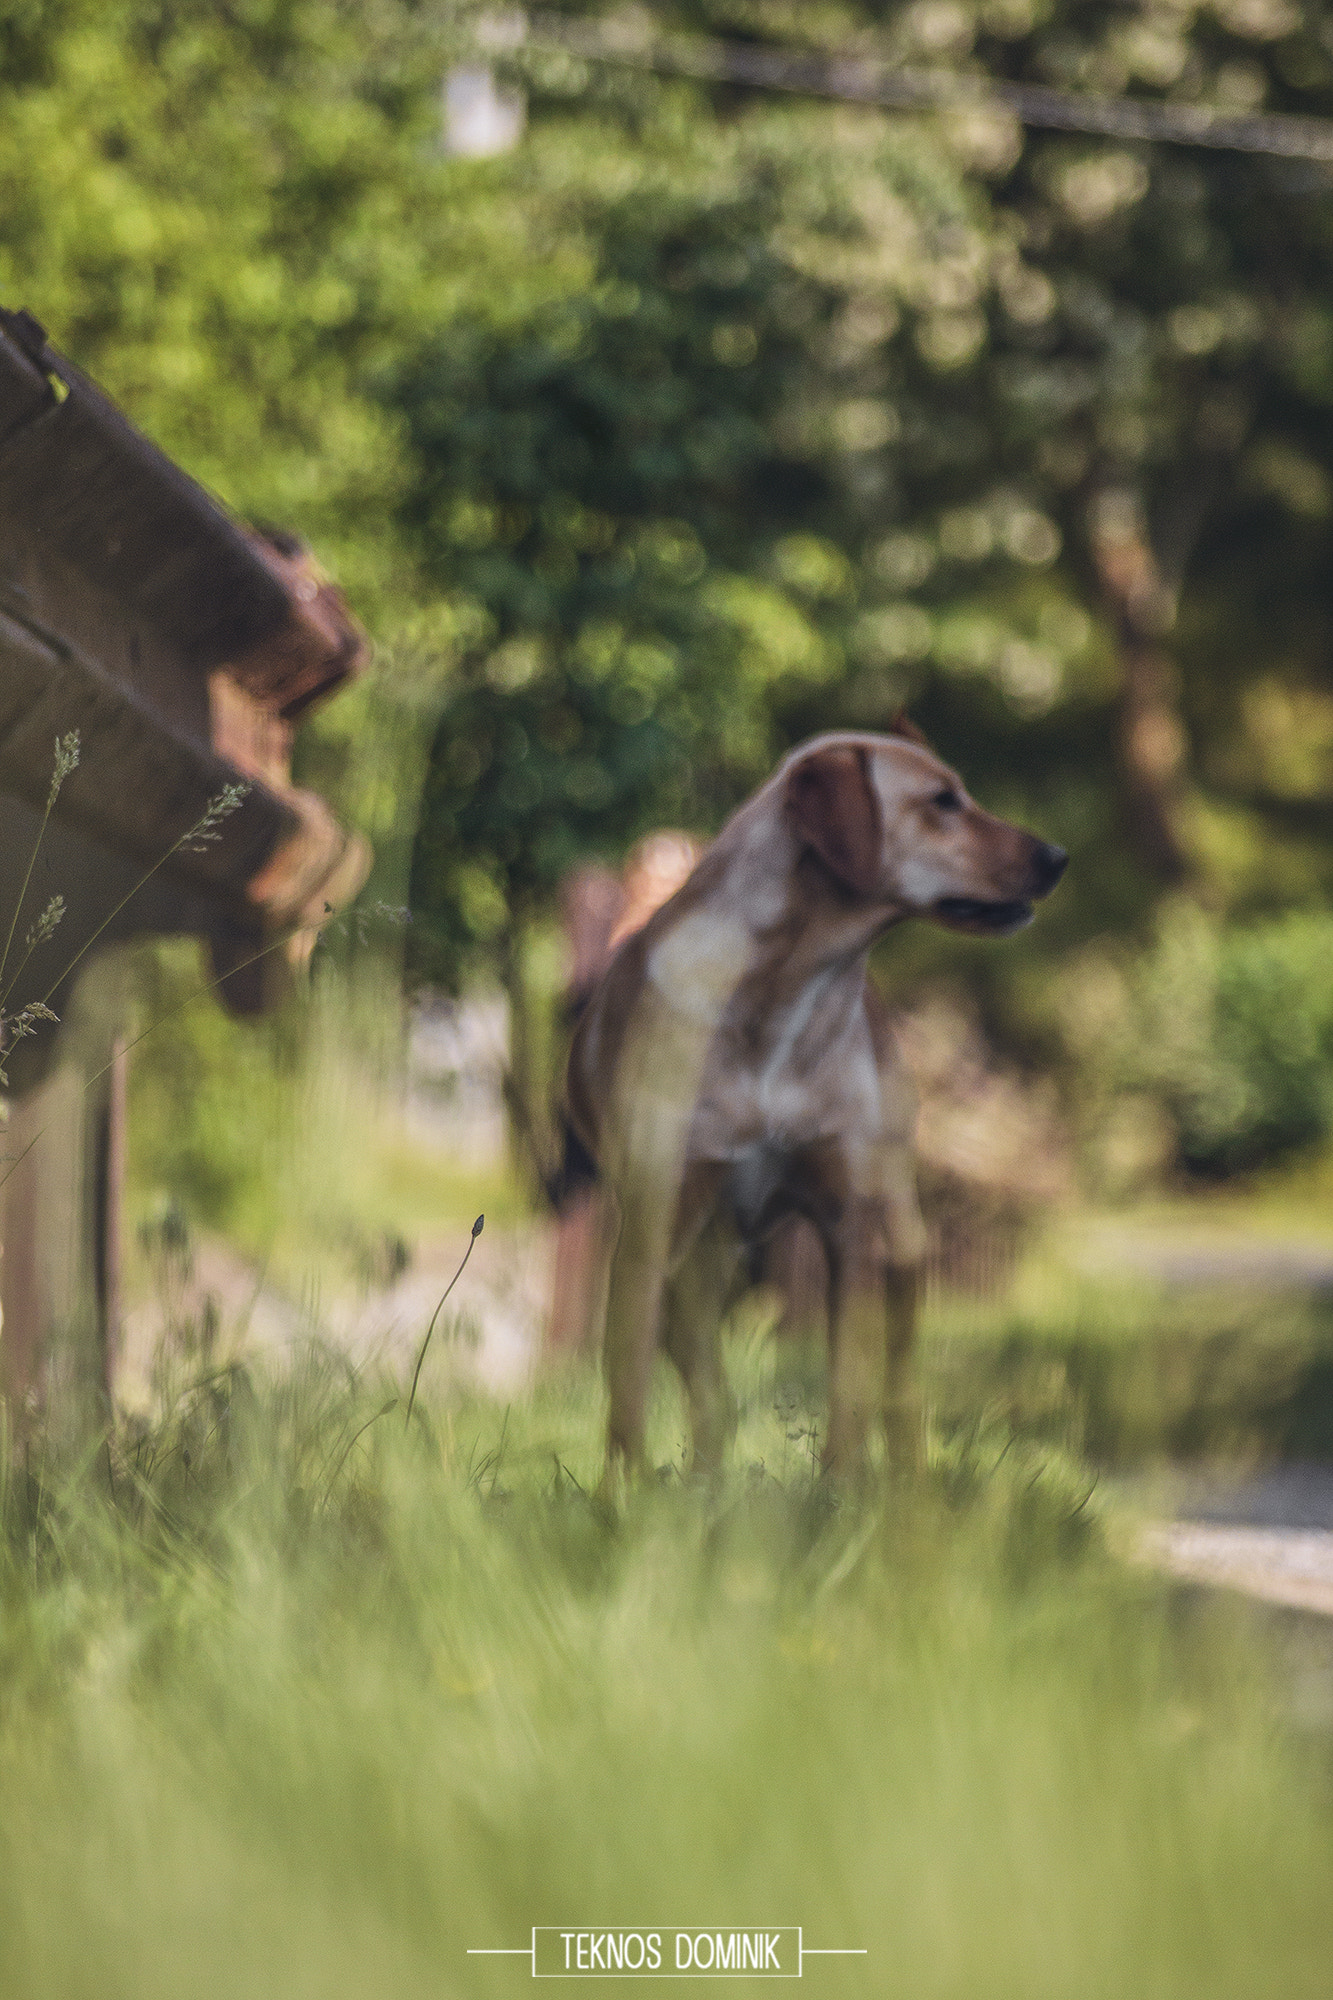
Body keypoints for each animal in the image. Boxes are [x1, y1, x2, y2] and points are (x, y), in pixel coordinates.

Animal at [564, 728, 1064, 1480]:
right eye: (942, 802)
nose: (1057, 857)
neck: (782, 994)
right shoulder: (650, 1231)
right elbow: (627, 1395)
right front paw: (621, 1500)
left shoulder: (849, 1228)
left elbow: (850, 1389)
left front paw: (840, 1495)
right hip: (694, 1266)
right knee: (708, 1390)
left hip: (900, 1239)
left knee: (900, 1392)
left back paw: (908, 1490)